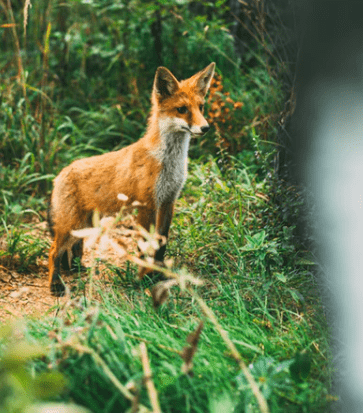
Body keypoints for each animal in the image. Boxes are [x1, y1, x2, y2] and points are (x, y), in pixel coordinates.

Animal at [46, 61, 215, 294]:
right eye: (182, 109)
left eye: (201, 107)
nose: (205, 128)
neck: (168, 163)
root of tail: (61, 173)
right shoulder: (146, 205)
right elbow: (145, 247)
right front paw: (145, 279)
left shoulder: (168, 201)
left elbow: (161, 245)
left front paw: (159, 275)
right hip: (71, 224)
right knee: (54, 251)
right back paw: (56, 284)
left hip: (83, 224)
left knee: (71, 249)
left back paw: (74, 270)